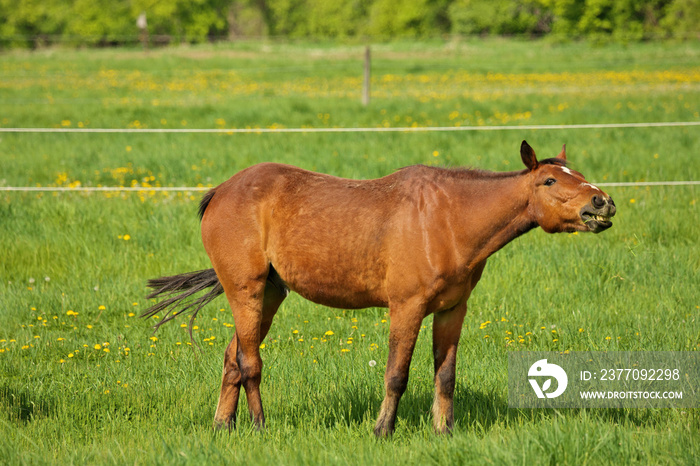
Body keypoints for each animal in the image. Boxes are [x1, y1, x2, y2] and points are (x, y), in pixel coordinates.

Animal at [144, 141, 616, 436]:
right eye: (550, 181)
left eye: (579, 174)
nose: (602, 202)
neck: (449, 219)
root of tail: (222, 191)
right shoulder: (406, 308)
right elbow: (396, 375)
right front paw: (382, 429)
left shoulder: (452, 310)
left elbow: (445, 376)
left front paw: (443, 431)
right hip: (248, 290)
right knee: (249, 363)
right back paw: (260, 426)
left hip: (271, 295)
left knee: (233, 359)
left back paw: (223, 426)